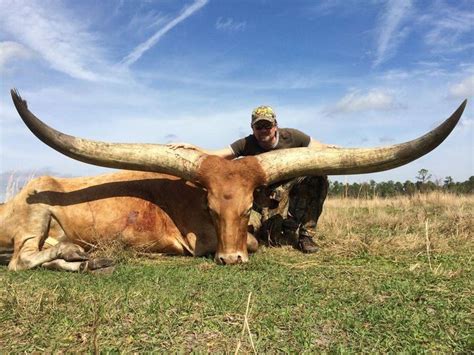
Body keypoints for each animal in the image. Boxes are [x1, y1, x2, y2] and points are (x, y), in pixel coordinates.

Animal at [0, 89, 466, 272]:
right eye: (209, 208)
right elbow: (253, 242)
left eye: (247, 209)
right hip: (36, 206)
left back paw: (86, 257)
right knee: (23, 259)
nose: (229, 260)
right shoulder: (195, 239)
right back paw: (76, 251)